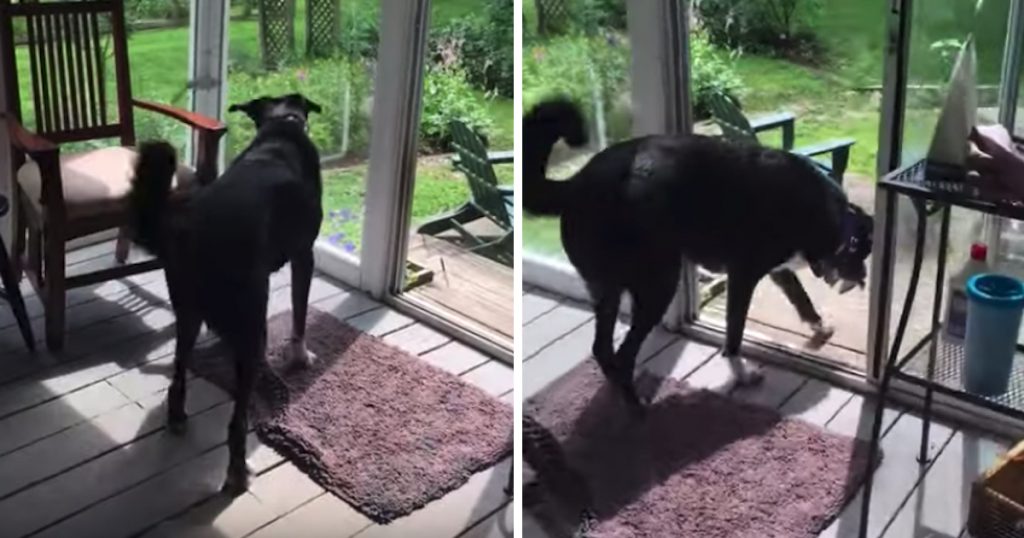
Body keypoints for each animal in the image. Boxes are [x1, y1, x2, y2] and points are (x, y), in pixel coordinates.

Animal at [127, 93, 321, 495]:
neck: (281, 127)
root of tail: (189, 228)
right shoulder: (304, 255)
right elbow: (299, 312)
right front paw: (300, 355)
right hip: (249, 325)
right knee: (236, 423)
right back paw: (236, 474)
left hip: (187, 311)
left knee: (179, 372)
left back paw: (178, 417)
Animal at [528, 97, 872, 407]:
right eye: (862, 253)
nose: (864, 279)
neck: (822, 212)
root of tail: (576, 183)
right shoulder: (743, 276)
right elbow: (734, 335)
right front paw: (742, 376)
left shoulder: (777, 269)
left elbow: (801, 298)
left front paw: (819, 325)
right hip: (658, 285)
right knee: (624, 354)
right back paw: (639, 409)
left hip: (607, 289)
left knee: (602, 349)